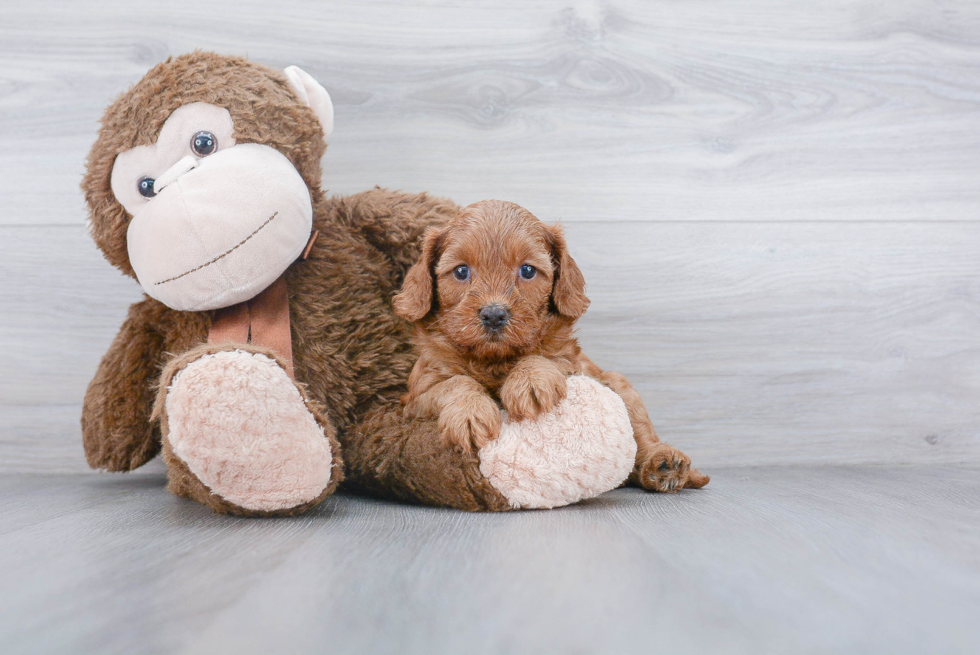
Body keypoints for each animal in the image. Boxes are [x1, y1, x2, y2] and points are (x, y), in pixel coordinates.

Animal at [394, 200, 708, 492]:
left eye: (527, 270)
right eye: (461, 271)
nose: (494, 314)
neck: (495, 360)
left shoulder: (573, 364)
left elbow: (547, 357)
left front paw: (531, 380)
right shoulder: (416, 398)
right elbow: (453, 383)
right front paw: (470, 413)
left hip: (620, 386)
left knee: (641, 440)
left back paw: (663, 462)